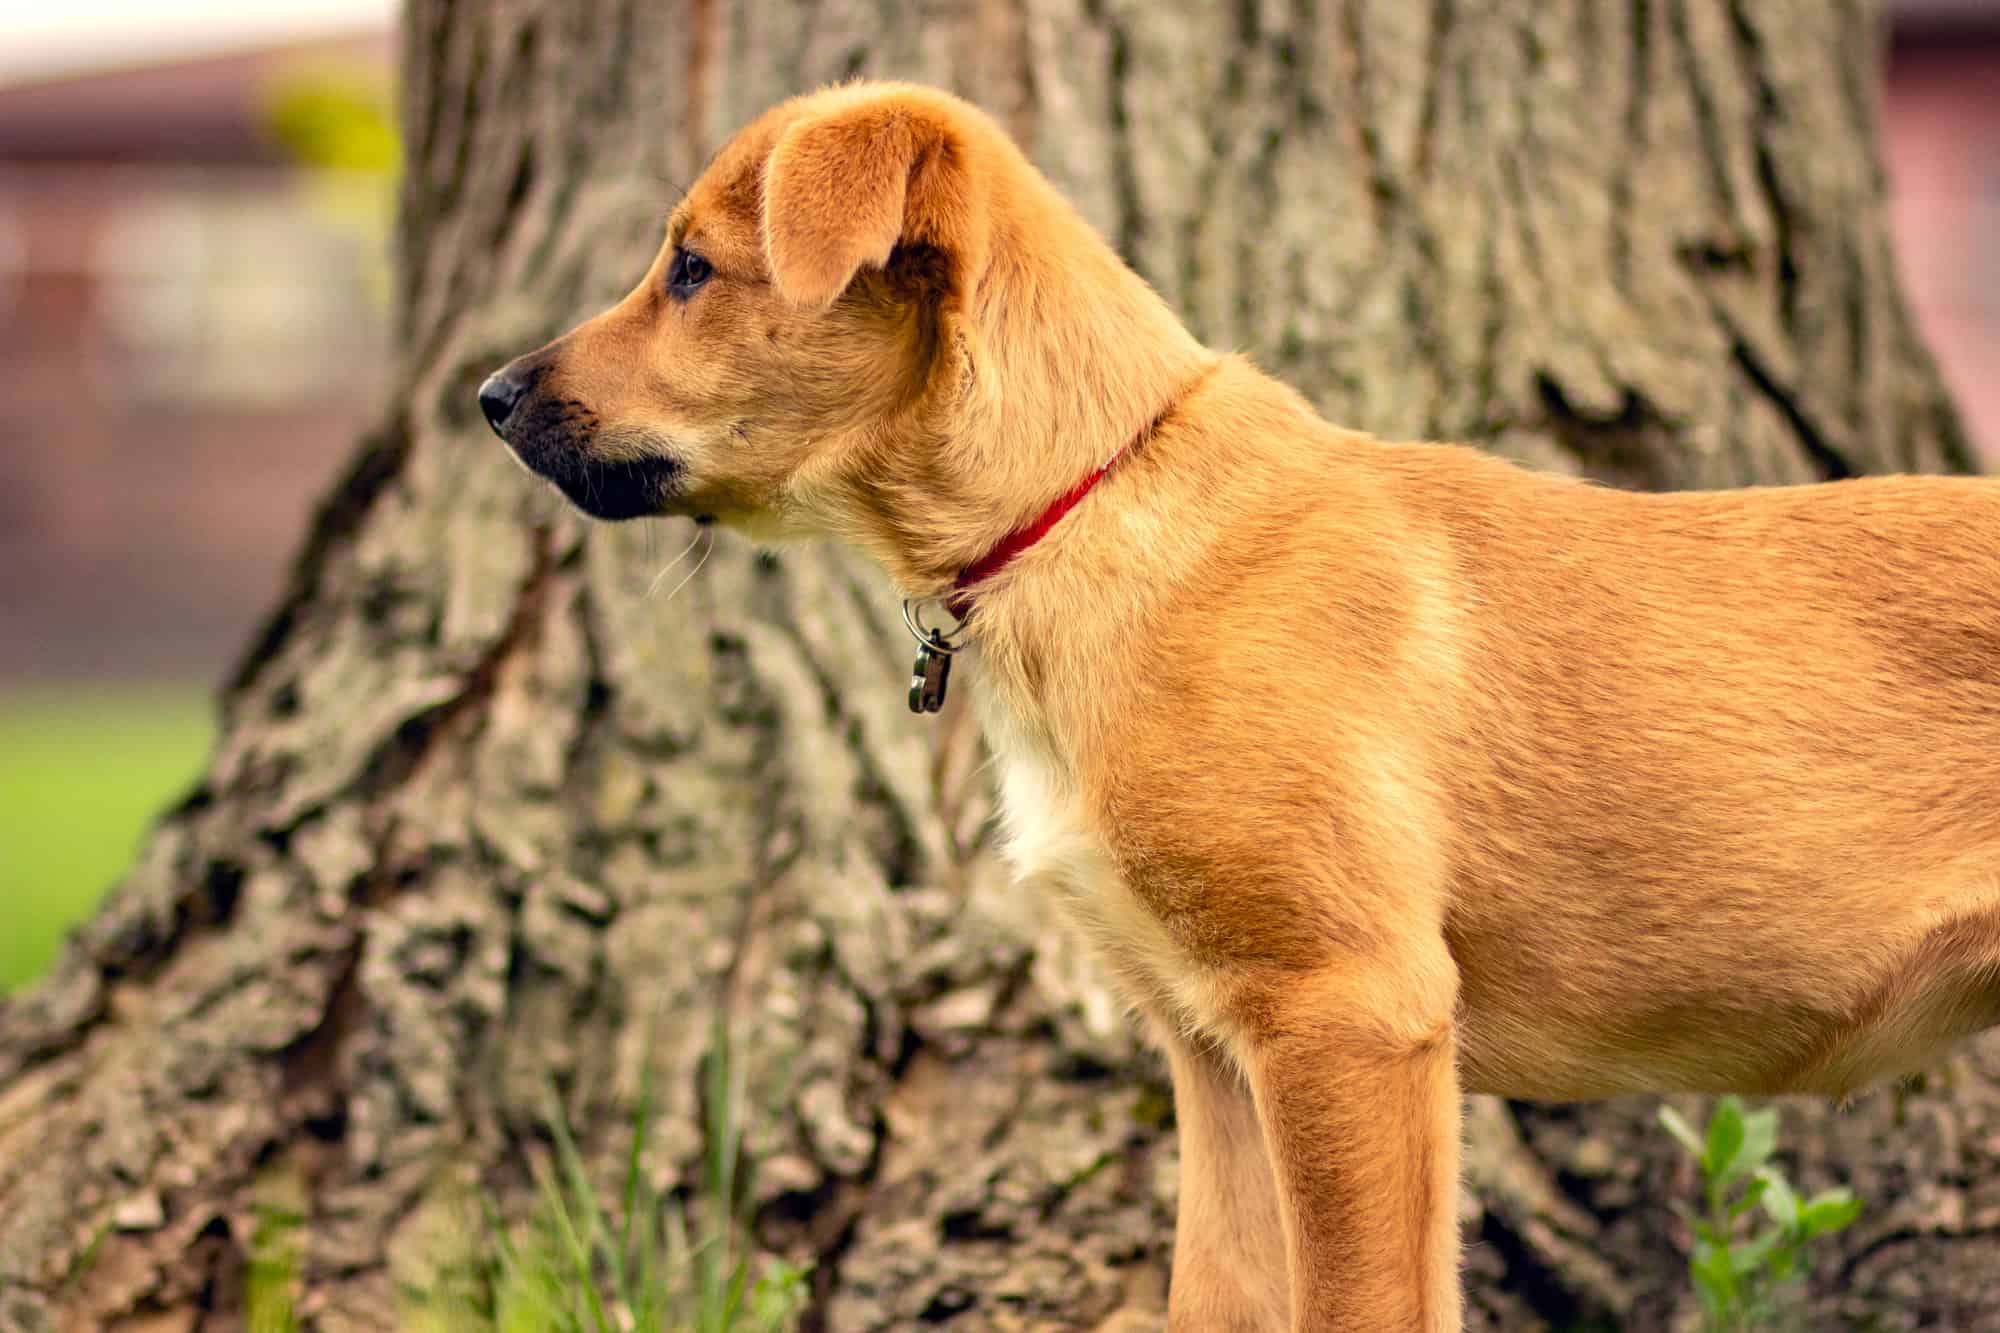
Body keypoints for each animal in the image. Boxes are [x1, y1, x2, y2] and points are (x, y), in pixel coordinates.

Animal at [480, 85, 2000, 1328]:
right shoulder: (1217, 1055)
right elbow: (1217, 1299)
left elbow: (1365, 1305)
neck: (1089, 501)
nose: (490, 395)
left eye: (691, 270)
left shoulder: (1347, 1013)